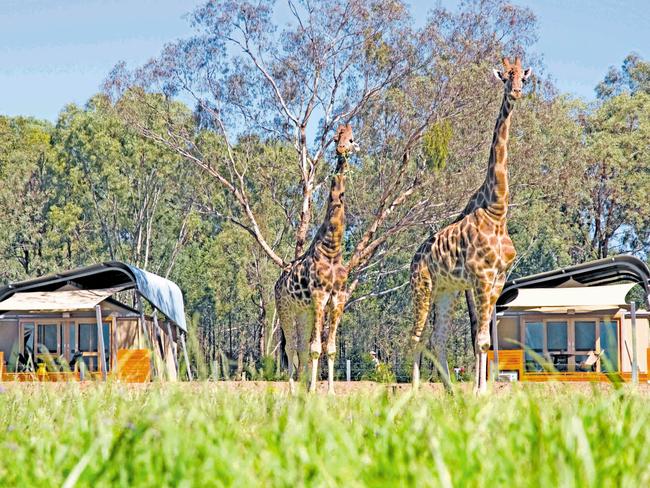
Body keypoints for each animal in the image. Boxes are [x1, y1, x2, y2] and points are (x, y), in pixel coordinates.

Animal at [272, 124, 356, 394]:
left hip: (303, 313)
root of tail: (277, 283)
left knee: (299, 348)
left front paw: (328, 391)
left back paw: (299, 388)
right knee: (291, 347)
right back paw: (292, 390)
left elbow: (329, 349)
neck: (332, 248)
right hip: (286, 309)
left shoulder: (337, 298)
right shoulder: (320, 297)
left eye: (351, 139)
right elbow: (316, 349)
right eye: (336, 137)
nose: (341, 149)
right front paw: (312, 391)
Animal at [410, 56, 532, 392]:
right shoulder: (480, 277)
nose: (516, 92)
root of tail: (414, 258)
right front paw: (479, 391)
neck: (497, 210)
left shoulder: (498, 279)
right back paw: (414, 391)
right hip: (422, 286)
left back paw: (451, 391)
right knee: (416, 337)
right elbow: (479, 338)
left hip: (445, 292)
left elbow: (485, 339)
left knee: (437, 338)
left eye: (524, 78)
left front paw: (482, 390)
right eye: (505, 76)